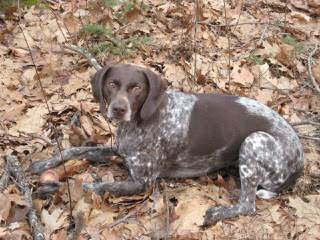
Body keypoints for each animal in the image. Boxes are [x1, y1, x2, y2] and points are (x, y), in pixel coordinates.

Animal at [81, 62, 304, 226]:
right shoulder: (118, 151)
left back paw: (217, 213)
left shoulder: (143, 182)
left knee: (248, 205)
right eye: (112, 84)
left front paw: (88, 185)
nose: (119, 109)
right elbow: (79, 150)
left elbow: (105, 186)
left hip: (254, 140)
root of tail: (300, 163)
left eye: (137, 87)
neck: (138, 124)